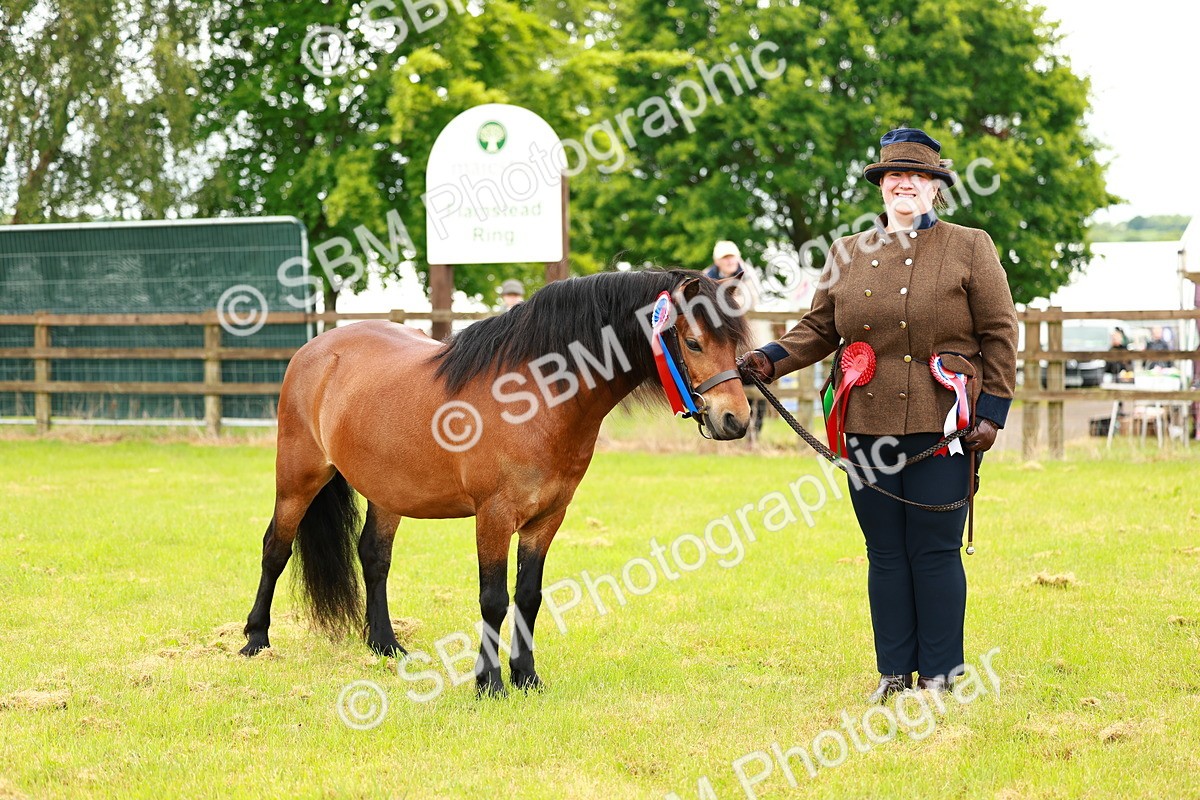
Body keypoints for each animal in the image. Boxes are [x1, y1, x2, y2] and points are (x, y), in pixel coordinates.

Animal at [238, 269, 752, 696]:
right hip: (298, 478)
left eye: (735, 345)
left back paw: (385, 644)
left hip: (388, 491)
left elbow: (528, 597)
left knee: (374, 557)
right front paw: (489, 683)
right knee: (275, 548)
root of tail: (316, 349)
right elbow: (493, 599)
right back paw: (255, 639)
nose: (736, 419)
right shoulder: (494, 515)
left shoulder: (547, 517)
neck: (534, 397)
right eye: (693, 343)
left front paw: (526, 676)